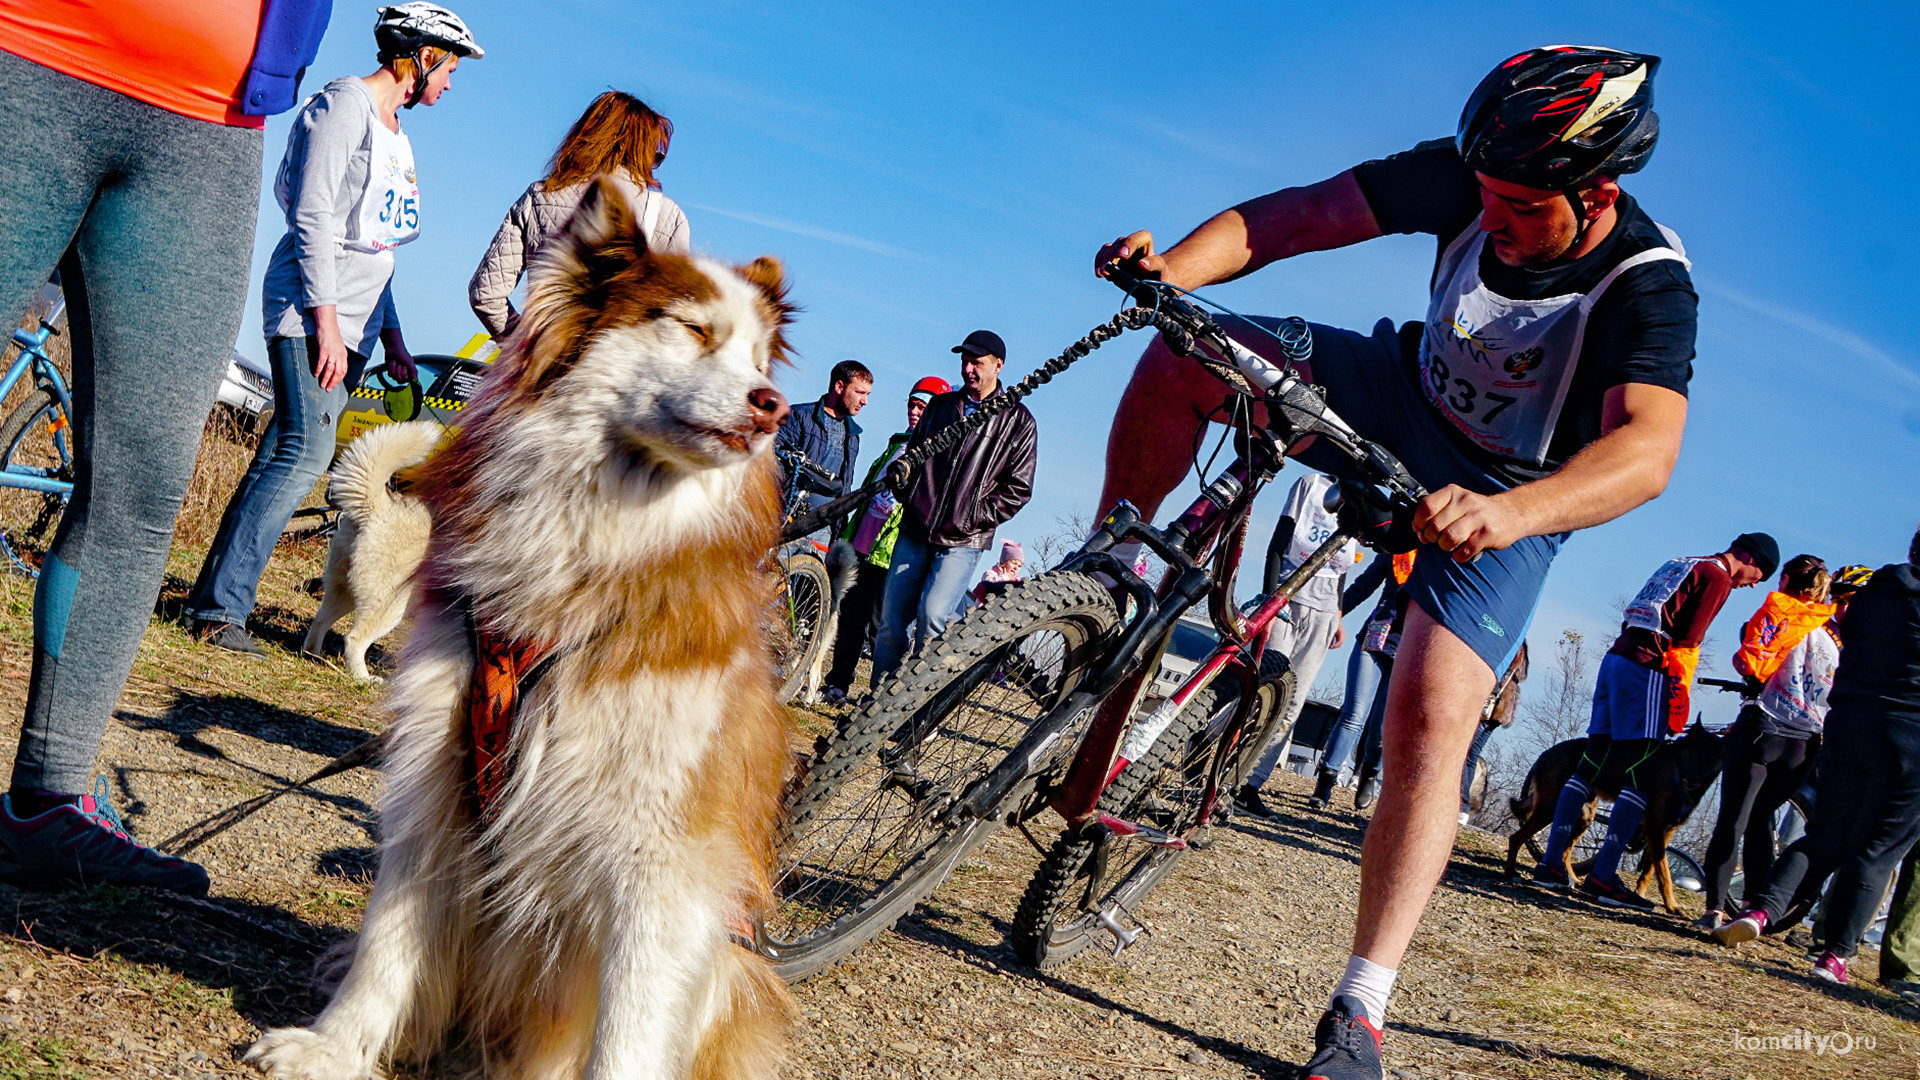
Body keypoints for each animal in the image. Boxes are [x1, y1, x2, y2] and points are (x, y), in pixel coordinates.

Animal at [301, 417, 439, 676]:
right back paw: (361, 677)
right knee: (354, 639)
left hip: (343, 591)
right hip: (390, 605)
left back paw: (312, 655)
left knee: (320, 620)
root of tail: (379, 508)